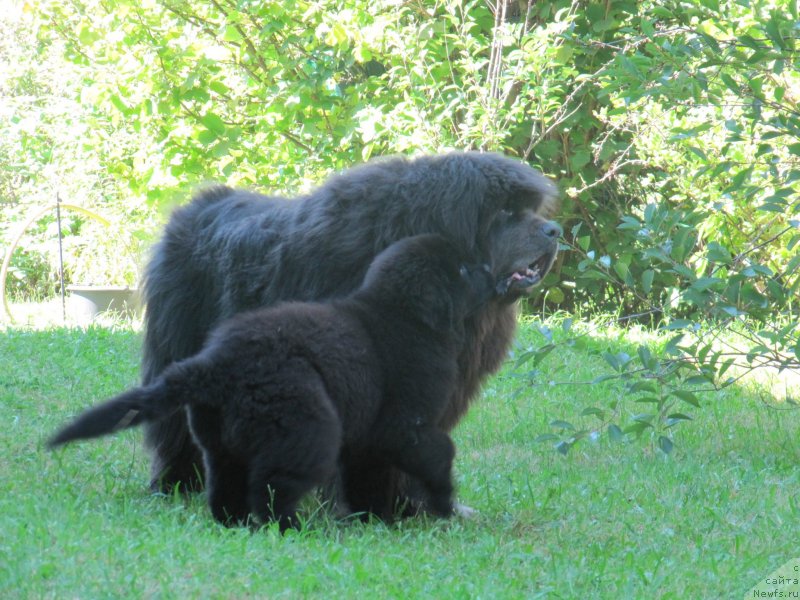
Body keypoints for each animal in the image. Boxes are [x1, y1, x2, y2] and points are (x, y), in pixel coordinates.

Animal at [48, 234, 494, 528]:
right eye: (463, 268)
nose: (492, 271)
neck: (404, 312)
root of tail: (214, 364)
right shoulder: (407, 425)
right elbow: (439, 453)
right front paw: (442, 504)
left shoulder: (369, 437)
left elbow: (365, 475)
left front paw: (372, 518)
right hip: (308, 428)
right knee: (273, 488)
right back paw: (288, 527)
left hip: (220, 443)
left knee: (227, 488)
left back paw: (234, 523)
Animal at [141, 152, 560, 512]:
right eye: (505, 211)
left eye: (530, 209)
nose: (554, 229)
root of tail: (193, 209)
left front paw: (412, 505)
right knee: (176, 428)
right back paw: (177, 483)